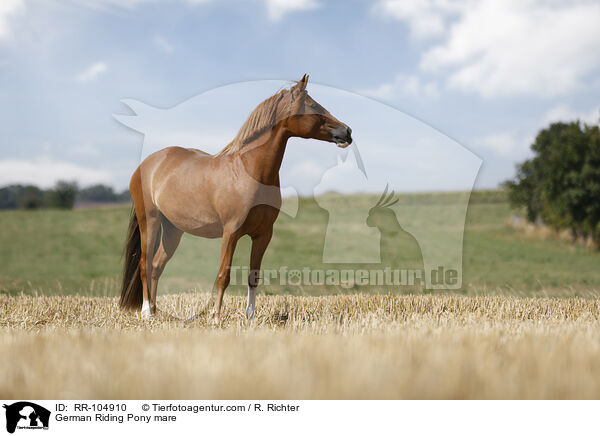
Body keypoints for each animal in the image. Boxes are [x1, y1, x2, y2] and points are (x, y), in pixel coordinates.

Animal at [120, 75, 354, 320]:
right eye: (313, 106)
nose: (347, 131)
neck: (249, 171)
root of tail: (149, 163)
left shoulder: (263, 234)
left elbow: (254, 276)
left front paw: (250, 316)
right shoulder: (230, 232)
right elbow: (223, 275)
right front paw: (215, 316)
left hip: (174, 229)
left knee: (157, 266)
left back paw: (156, 310)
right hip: (150, 221)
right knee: (145, 265)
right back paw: (147, 312)